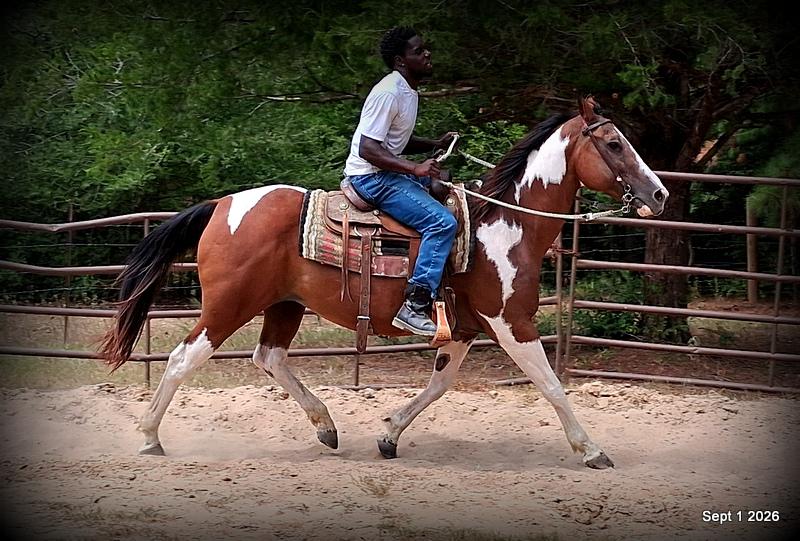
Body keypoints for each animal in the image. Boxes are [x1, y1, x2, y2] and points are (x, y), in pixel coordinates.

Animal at [100, 97, 668, 469]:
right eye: (614, 143)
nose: (659, 194)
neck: (505, 226)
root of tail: (222, 205)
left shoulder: (464, 329)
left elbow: (440, 385)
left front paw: (390, 435)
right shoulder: (510, 322)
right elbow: (550, 383)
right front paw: (592, 449)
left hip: (285, 304)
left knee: (270, 357)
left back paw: (327, 427)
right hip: (229, 305)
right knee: (184, 358)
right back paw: (149, 438)